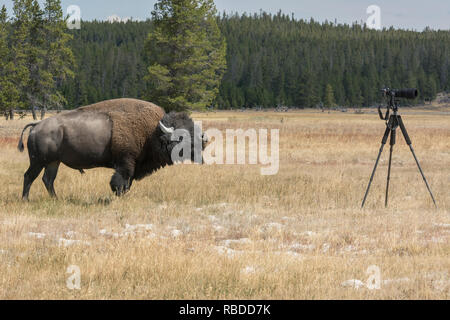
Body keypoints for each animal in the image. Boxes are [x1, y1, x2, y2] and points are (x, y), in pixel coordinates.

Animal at [17, 98, 207, 200]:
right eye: (182, 137)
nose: (203, 142)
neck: (152, 132)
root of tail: (36, 125)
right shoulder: (125, 162)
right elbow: (120, 180)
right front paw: (118, 195)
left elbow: (128, 182)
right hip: (38, 161)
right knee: (29, 176)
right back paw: (26, 199)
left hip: (53, 162)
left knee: (48, 180)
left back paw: (56, 199)